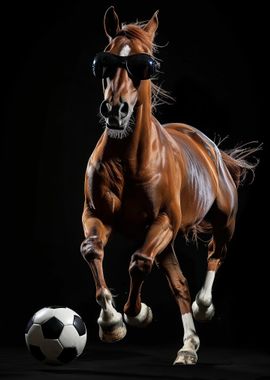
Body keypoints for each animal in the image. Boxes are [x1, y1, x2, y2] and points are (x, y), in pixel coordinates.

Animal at [80, 6, 260, 366]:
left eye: (145, 63)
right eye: (103, 60)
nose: (115, 110)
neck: (128, 161)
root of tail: (210, 147)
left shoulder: (164, 221)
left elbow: (138, 262)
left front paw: (136, 314)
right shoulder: (95, 215)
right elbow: (92, 249)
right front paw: (111, 323)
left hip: (222, 223)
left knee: (214, 255)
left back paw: (203, 307)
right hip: (164, 241)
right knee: (179, 284)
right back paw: (188, 346)